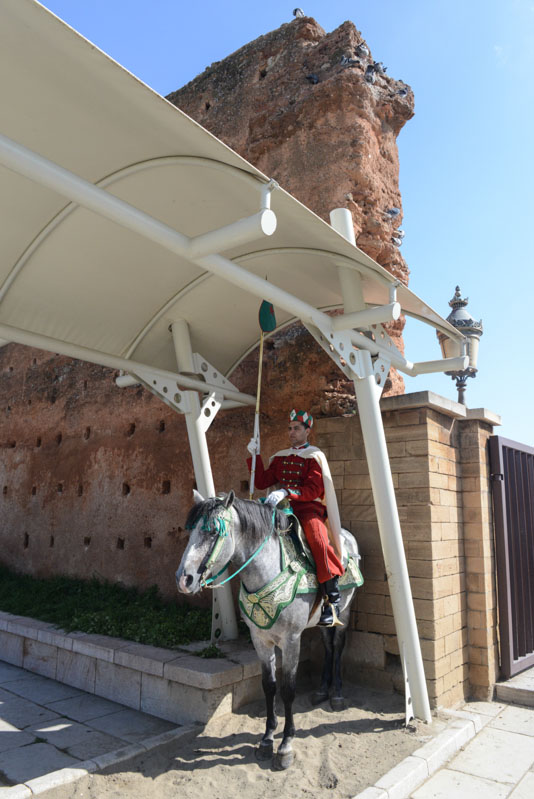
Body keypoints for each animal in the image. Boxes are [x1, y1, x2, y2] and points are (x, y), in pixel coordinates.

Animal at [178, 490, 362, 772]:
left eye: (213, 531)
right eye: (190, 532)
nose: (183, 579)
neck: (267, 571)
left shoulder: (291, 640)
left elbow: (288, 689)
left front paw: (286, 745)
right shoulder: (261, 640)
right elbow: (269, 685)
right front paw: (266, 739)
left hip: (344, 611)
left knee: (338, 646)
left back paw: (337, 694)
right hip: (321, 621)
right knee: (328, 646)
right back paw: (322, 689)